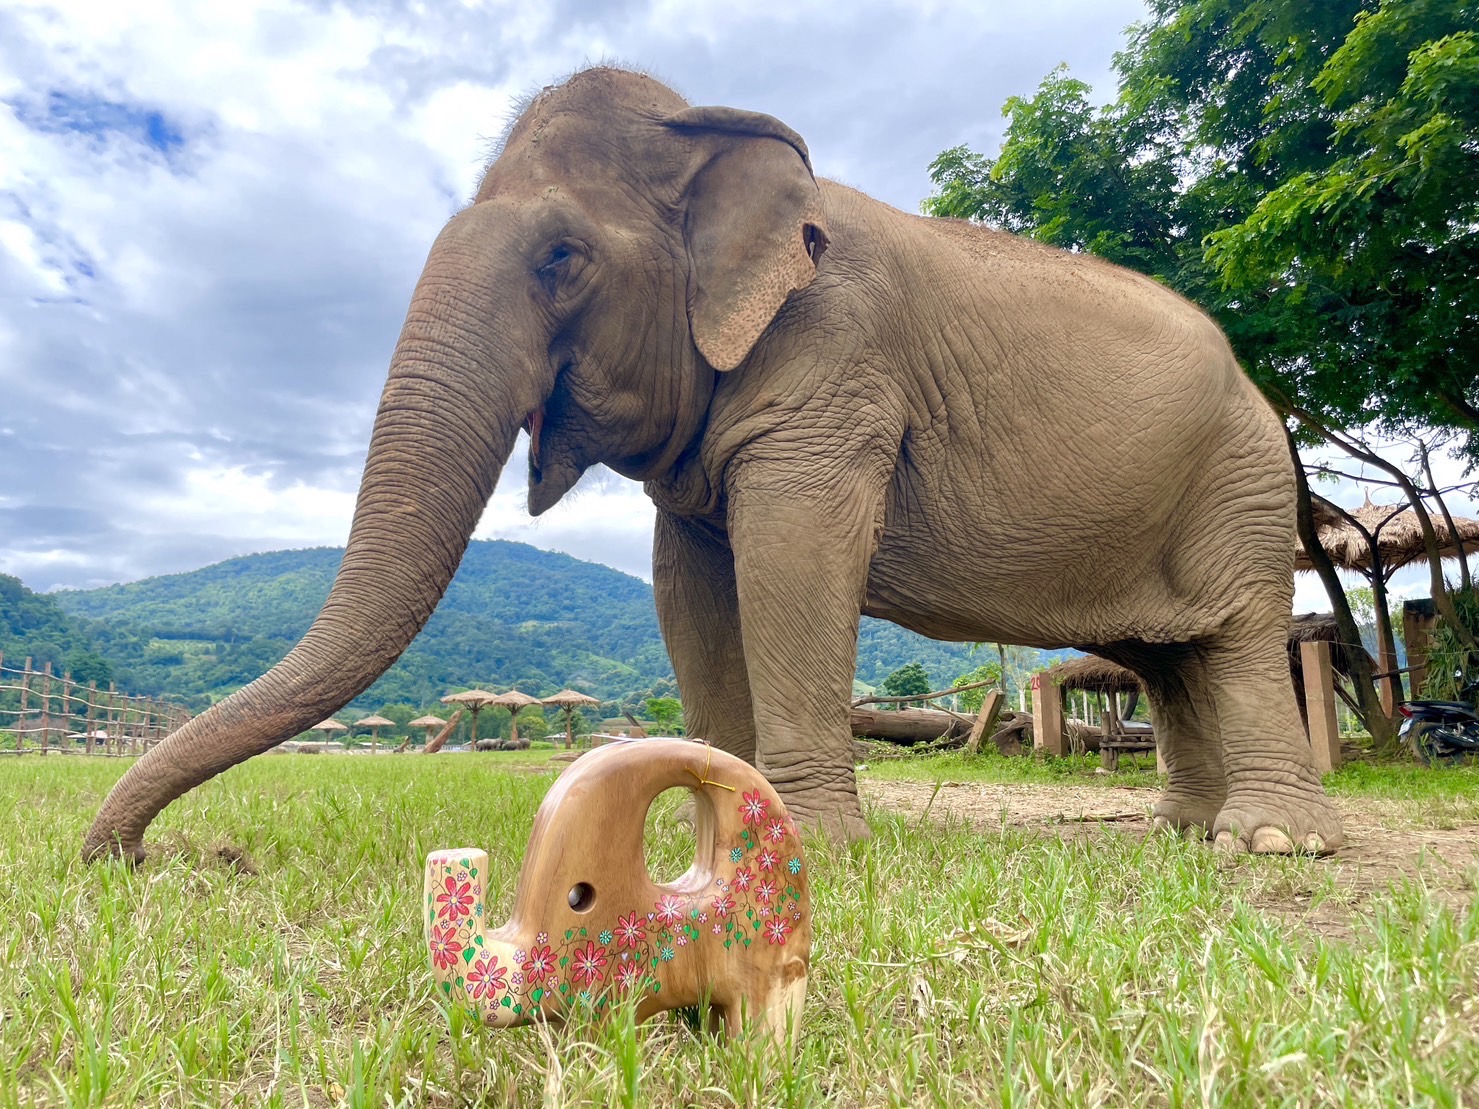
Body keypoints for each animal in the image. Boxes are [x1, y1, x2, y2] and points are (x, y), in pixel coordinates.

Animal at [80, 67, 1342, 869]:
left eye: (560, 256)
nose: (152, 857)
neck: (710, 135)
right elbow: (689, 585)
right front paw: (720, 843)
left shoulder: (833, 366)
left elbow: (790, 561)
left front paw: (811, 849)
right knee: (1166, 654)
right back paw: (1182, 830)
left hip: (1240, 477)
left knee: (1234, 634)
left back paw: (1270, 840)